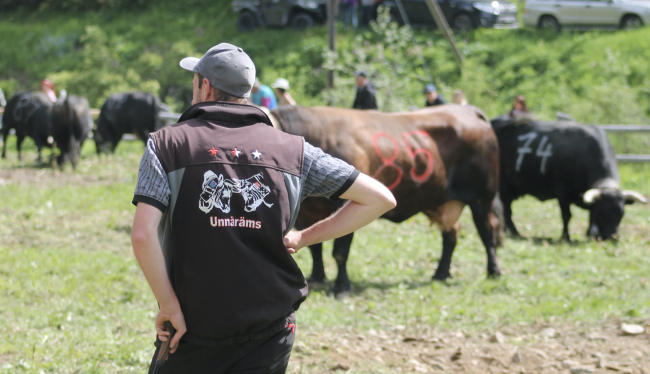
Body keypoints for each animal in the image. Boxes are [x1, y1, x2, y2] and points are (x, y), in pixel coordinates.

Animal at [268, 103, 502, 296]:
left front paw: (341, 286)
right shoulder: (307, 212)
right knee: (451, 234)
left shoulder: (345, 205)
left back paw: (494, 272)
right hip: (440, 202)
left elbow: (340, 252)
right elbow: (315, 247)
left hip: (482, 199)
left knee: (487, 233)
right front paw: (317, 276)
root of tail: (468, 110)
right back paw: (441, 273)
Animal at [488, 115, 644, 241]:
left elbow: (589, 214)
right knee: (507, 210)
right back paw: (515, 232)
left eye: (621, 213)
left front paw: (588, 233)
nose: (612, 237)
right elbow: (567, 215)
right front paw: (565, 237)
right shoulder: (562, 192)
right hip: (503, 186)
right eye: (602, 214)